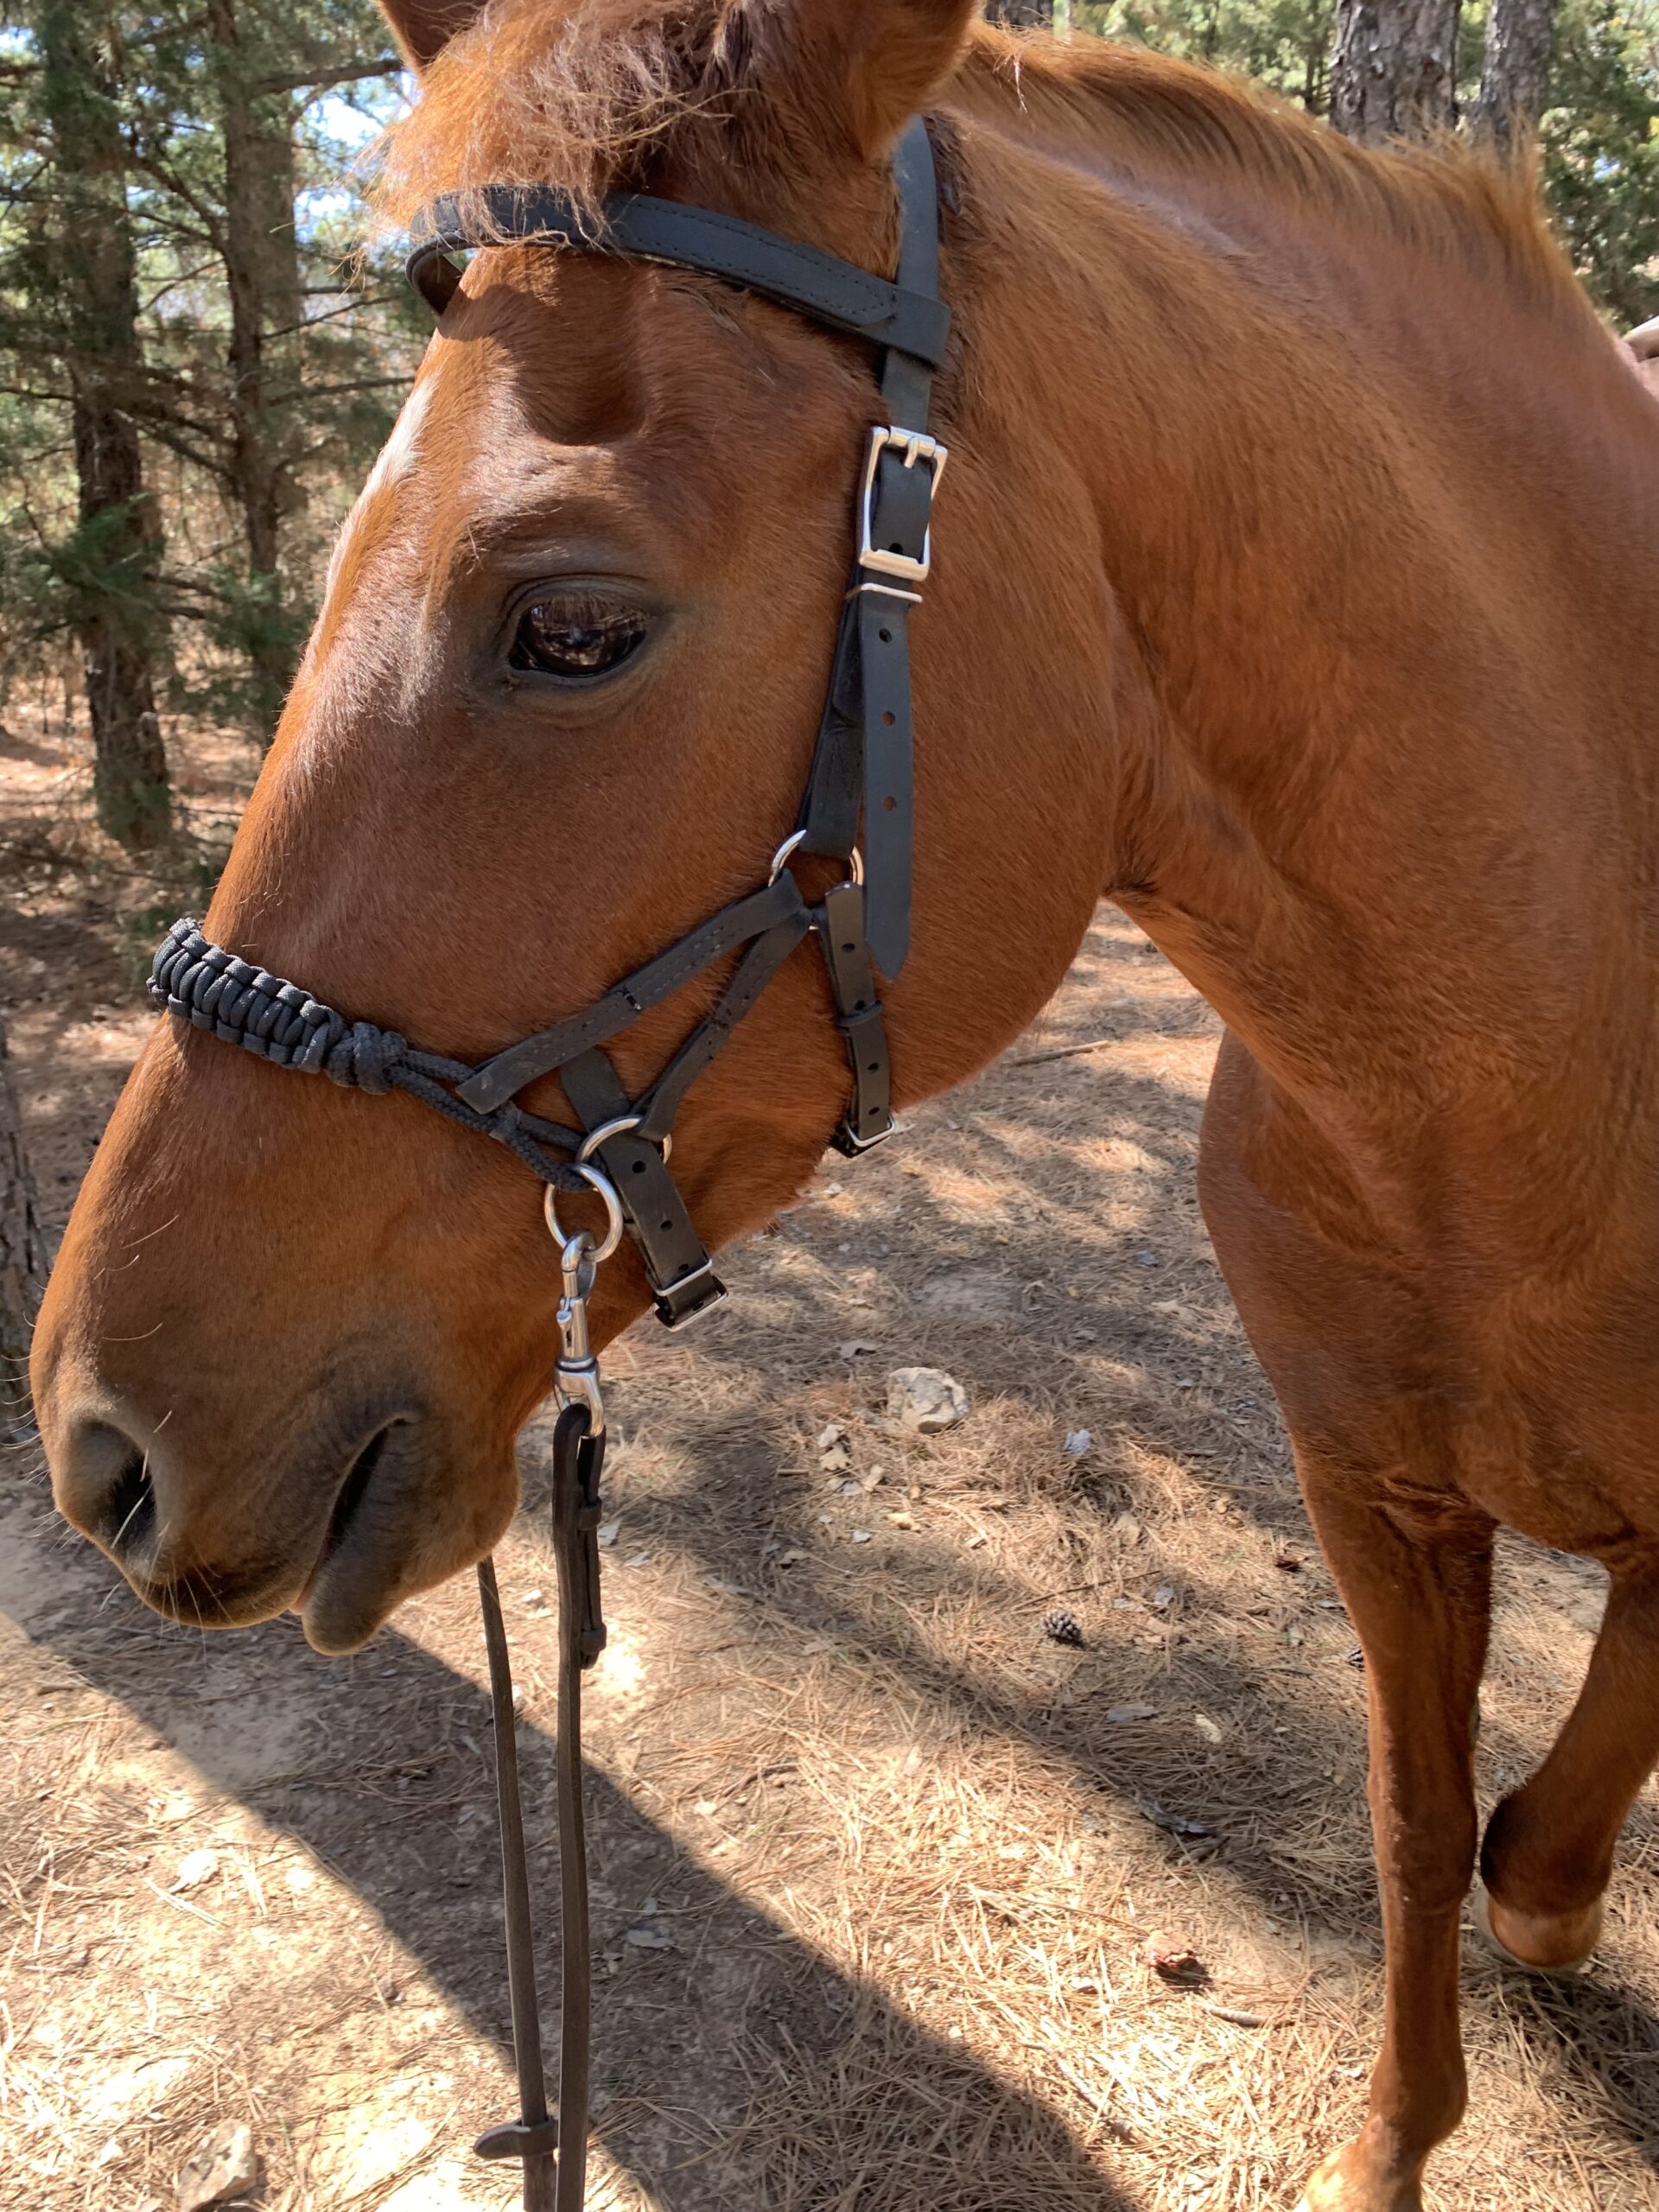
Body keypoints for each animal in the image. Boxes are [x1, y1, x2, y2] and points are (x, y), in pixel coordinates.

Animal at [29, 4, 1659, 2212]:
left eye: (572, 624)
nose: (97, 1440)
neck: (1515, 1108)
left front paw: (1541, 1904)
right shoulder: (1367, 1492)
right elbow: (1413, 1825)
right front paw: (1401, 2122)